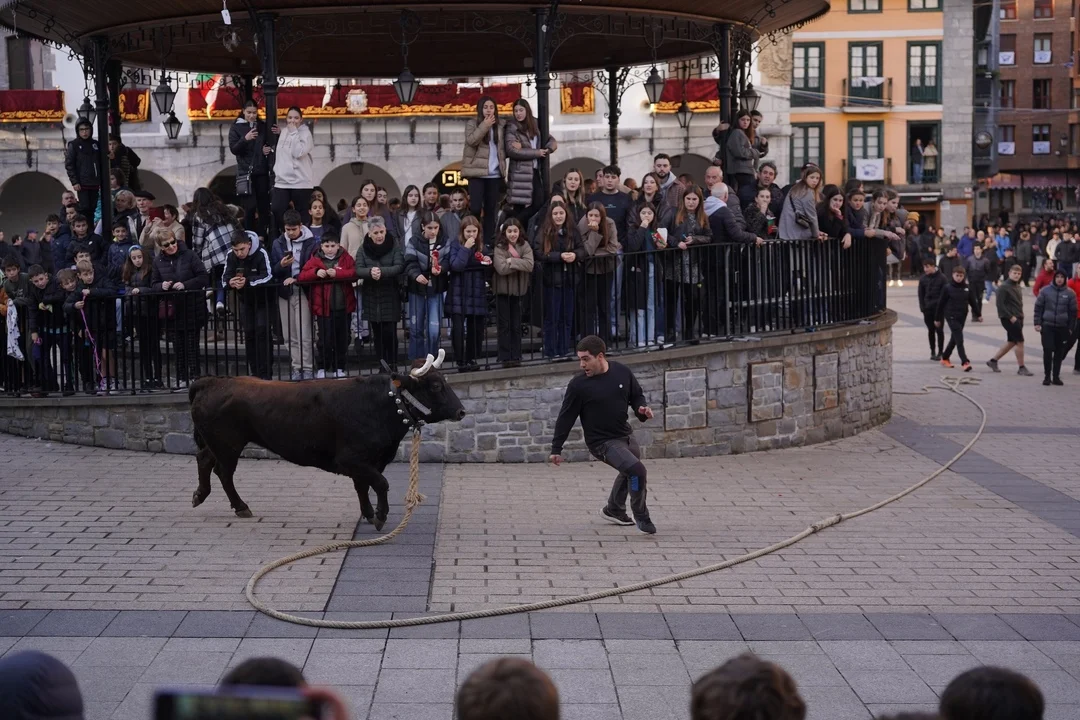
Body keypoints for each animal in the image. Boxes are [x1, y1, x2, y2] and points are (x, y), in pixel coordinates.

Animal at [188, 349, 465, 528]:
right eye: (436, 385)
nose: (461, 411)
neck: (382, 403)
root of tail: (211, 381)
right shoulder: (351, 459)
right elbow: (381, 483)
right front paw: (380, 516)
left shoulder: (370, 461)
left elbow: (364, 486)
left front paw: (368, 513)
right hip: (228, 445)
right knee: (223, 472)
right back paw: (240, 506)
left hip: (218, 443)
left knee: (204, 458)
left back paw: (200, 494)